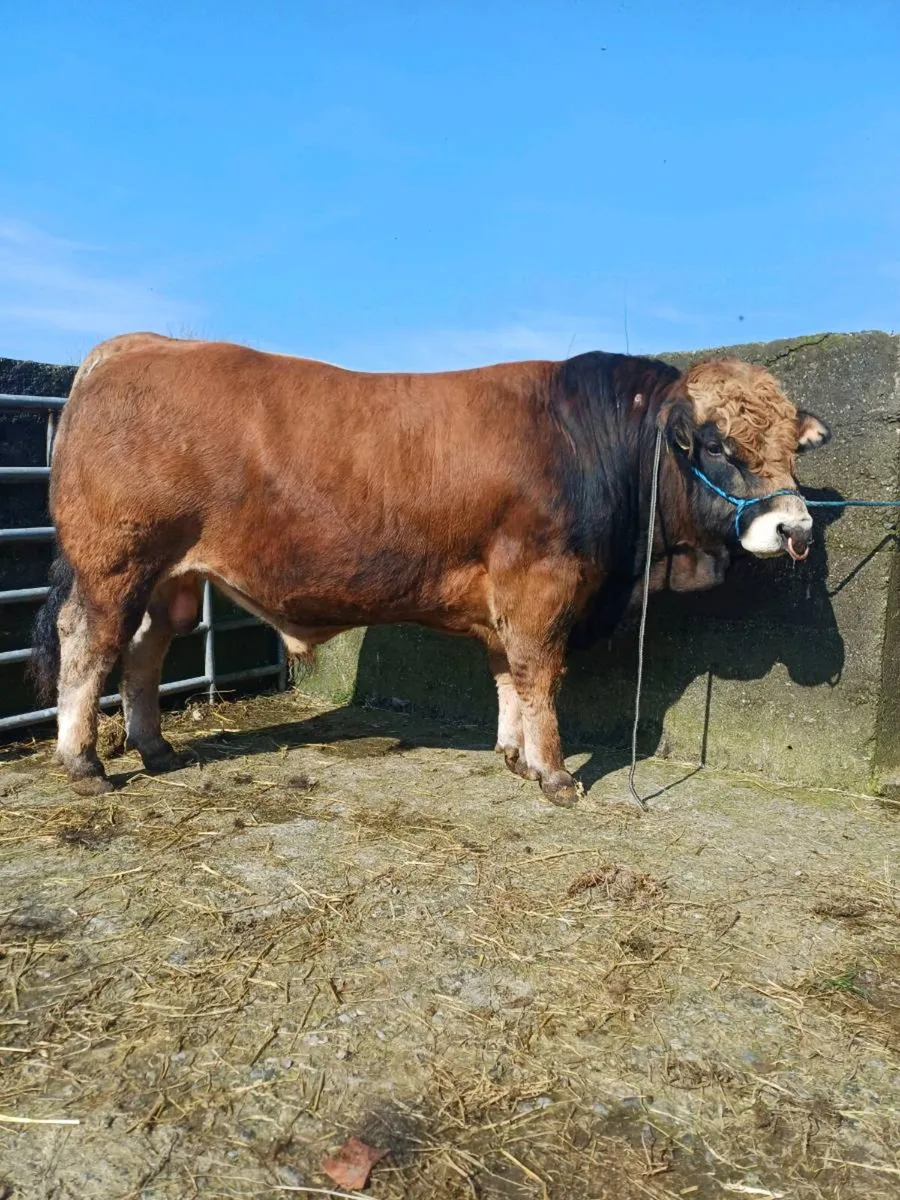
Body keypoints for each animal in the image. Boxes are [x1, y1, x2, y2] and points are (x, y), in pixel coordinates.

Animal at [30, 334, 830, 804]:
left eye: (793, 446)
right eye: (719, 445)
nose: (795, 527)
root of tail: (128, 347)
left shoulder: (507, 593)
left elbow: (510, 674)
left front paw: (513, 754)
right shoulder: (543, 582)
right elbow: (541, 672)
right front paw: (555, 773)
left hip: (170, 578)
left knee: (144, 651)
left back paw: (155, 747)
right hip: (115, 564)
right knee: (89, 644)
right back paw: (85, 763)